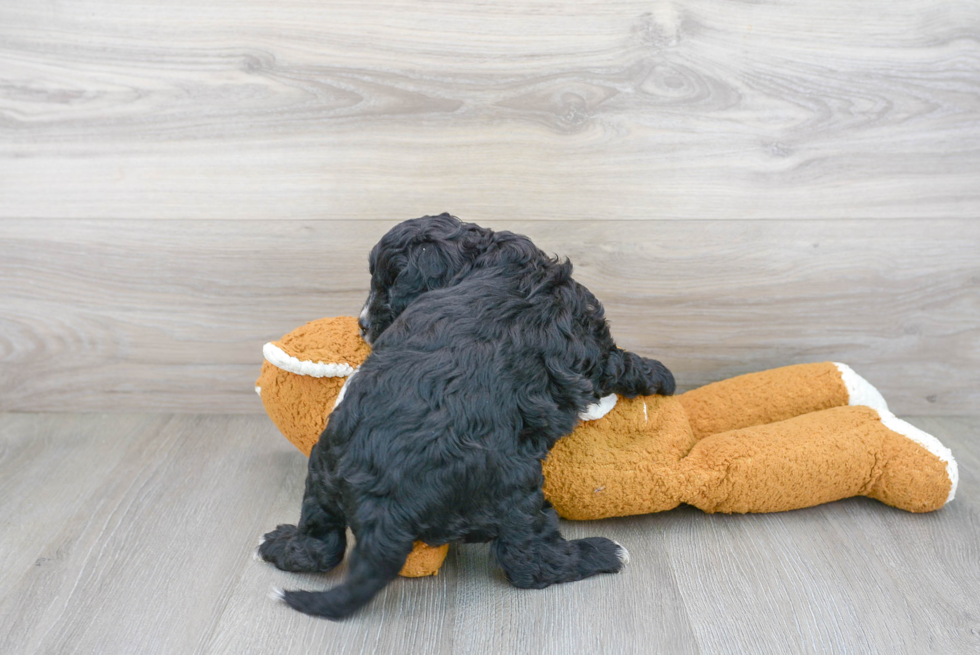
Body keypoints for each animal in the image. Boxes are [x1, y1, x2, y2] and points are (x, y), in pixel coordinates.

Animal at [260, 214, 672, 620]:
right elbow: (622, 362)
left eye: (388, 288)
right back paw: (603, 553)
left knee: (321, 543)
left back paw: (278, 543)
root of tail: (383, 506)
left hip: (322, 471)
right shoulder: (591, 342)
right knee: (528, 562)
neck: (489, 261)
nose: (362, 326)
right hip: (513, 492)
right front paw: (661, 375)